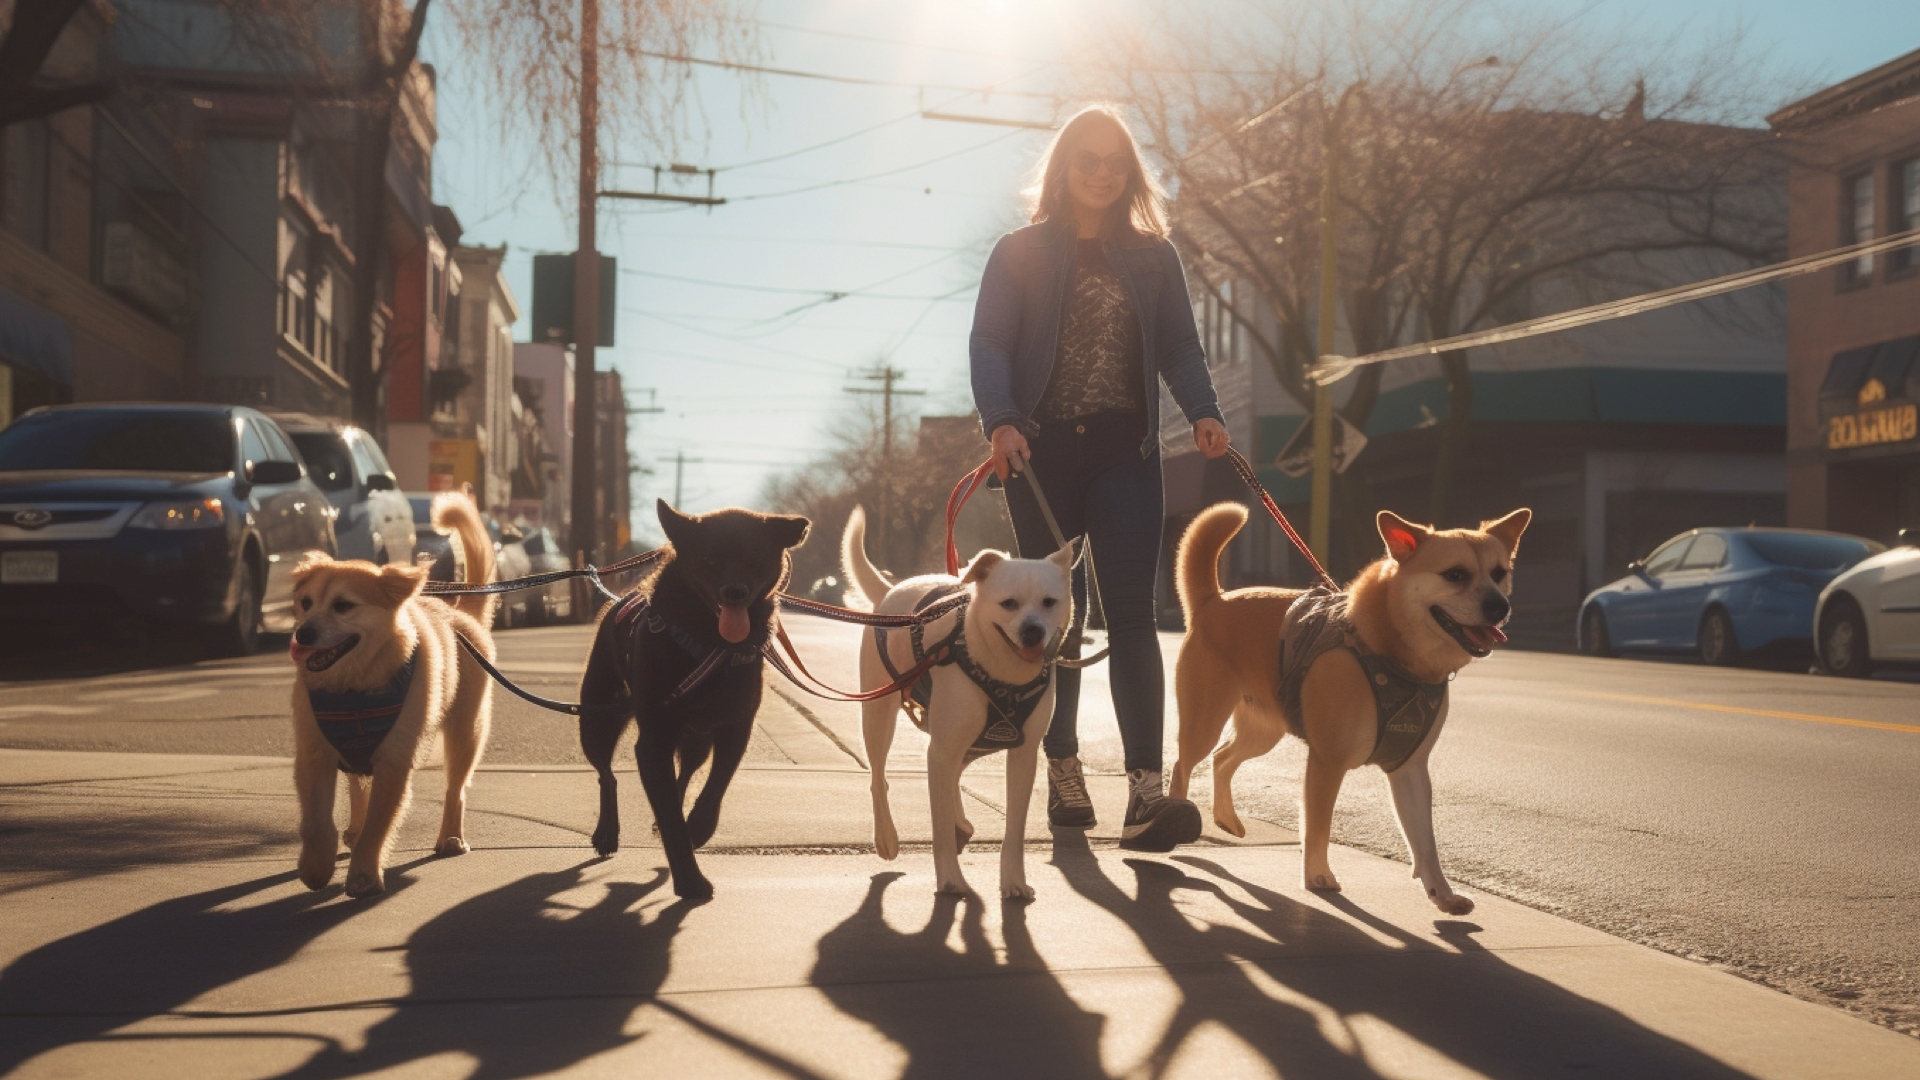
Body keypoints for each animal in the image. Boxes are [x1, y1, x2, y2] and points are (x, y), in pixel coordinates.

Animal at [286, 491, 499, 895]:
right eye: (305, 603)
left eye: (343, 605)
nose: (302, 634)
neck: (353, 688)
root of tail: (463, 613)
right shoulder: (313, 755)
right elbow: (316, 821)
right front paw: (316, 866)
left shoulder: (395, 761)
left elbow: (379, 826)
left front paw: (364, 874)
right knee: (357, 787)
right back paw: (352, 830)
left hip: (466, 732)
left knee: (456, 789)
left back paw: (450, 838)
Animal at [572, 499, 806, 895]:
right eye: (709, 559)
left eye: (754, 558)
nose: (734, 591)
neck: (710, 649)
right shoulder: (653, 741)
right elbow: (668, 814)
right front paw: (689, 880)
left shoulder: (734, 730)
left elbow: (714, 787)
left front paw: (698, 827)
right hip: (598, 720)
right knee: (607, 775)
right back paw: (607, 833)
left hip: (697, 741)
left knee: (682, 778)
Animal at [844, 507, 1082, 895]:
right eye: (1008, 603)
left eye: (1049, 602)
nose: (1033, 631)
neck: (1002, 672)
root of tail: (891, 589)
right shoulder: (940, 749)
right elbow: (938, 828)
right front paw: (951, 879)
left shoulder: (1022, 756)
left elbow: (1014, 828)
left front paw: (1013, 880)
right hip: (879, 714)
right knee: (879, 776)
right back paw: (887, 837)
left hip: (966, 741)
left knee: (953, 775)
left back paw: (961, 824)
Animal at [1167, 499, 1528, 910]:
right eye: (1455, 574)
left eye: (1499, 573)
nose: (1500, 607)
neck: (1391, 653)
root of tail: (1214, 600)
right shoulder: (1327, 762)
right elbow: (1318, 827)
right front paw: (1317, 875)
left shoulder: (1410, 769)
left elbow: (1425, 841)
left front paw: (1442, 892)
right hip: (1205, 721)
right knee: (1183, 764)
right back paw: (1176, 818)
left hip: (1263, 730)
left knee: (1223, 758)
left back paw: (1226, 818)